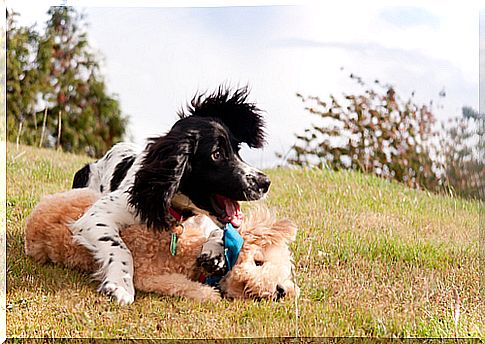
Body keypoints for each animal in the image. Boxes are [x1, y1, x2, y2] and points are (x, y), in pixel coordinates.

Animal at [70, 86, 270, 304]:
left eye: (237, 150)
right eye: (216, 154)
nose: (265, 182)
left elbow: (221, 232)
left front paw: (214, 253)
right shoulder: (96, 217)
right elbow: (121, 248)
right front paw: (120, 285)